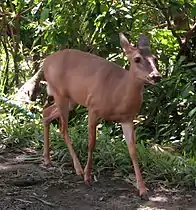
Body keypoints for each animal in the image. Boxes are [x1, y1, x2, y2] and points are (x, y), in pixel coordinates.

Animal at [42, 32, 162, 199]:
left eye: (155, 58)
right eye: (137, 59)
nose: (156, 76)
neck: (117, 92)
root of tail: (45, 62)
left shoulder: (127, 118)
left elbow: (133, 150)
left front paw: (143, 189)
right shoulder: (93, 108)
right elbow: (91, 143)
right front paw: (87, 177)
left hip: (71, 100)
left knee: (46, 113)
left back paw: (47, 159)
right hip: (60, 94)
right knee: (62, 128)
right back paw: (78, 169)